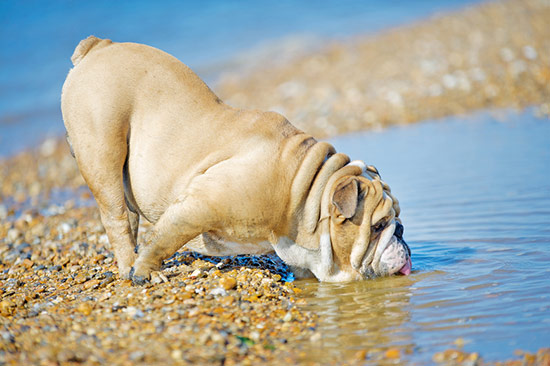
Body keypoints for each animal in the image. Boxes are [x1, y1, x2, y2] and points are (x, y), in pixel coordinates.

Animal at [62, 35, 412, 284]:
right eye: (378, 226)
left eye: (397, 221)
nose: (401, 231)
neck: (304, 189)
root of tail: (99, 46)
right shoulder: (198, 206)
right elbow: (163, 239)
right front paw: (145, 270)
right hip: (102, 150)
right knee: (116, 217)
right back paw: (129, 268)